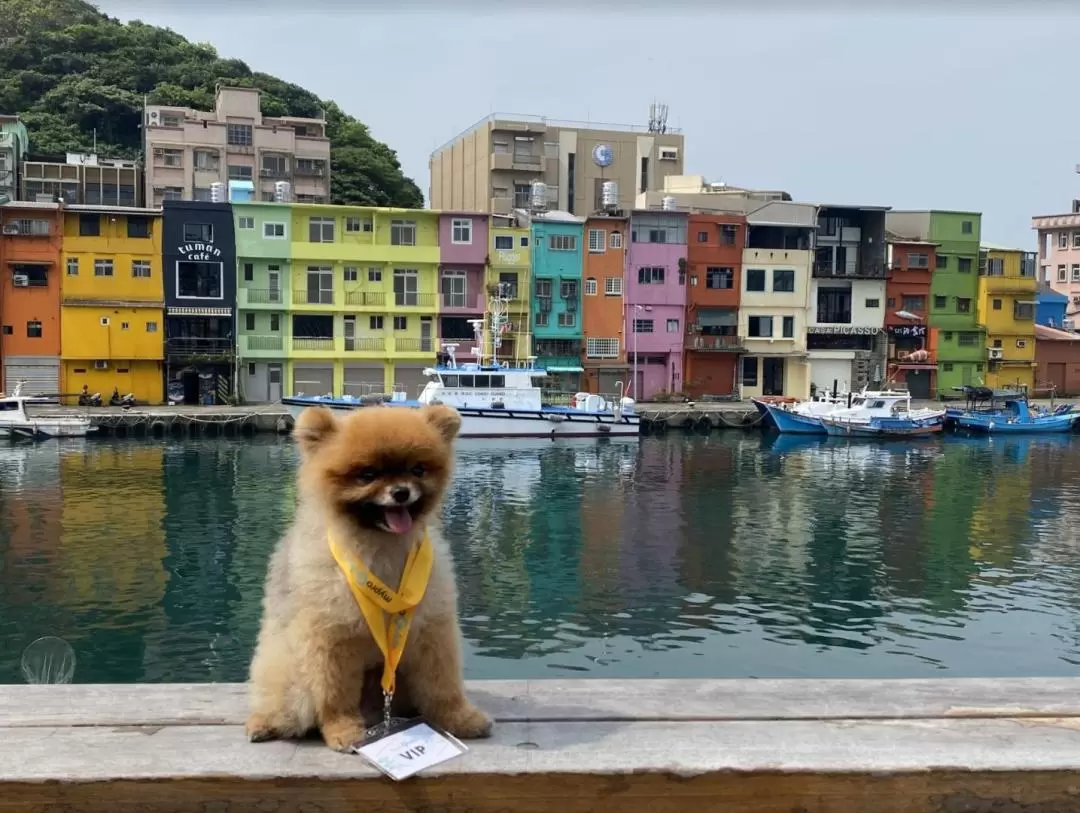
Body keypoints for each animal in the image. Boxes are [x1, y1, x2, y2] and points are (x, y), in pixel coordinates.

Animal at [246, 403, 494, 751]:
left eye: (418, 470)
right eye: (368, 475)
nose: (401, 492)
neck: (382, 549)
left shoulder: (432, 629)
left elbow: (442, 684)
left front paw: (459, 717)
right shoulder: (332, 637)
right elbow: (336, 695)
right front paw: (343, 731)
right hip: (288, 671)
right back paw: (265, 723)